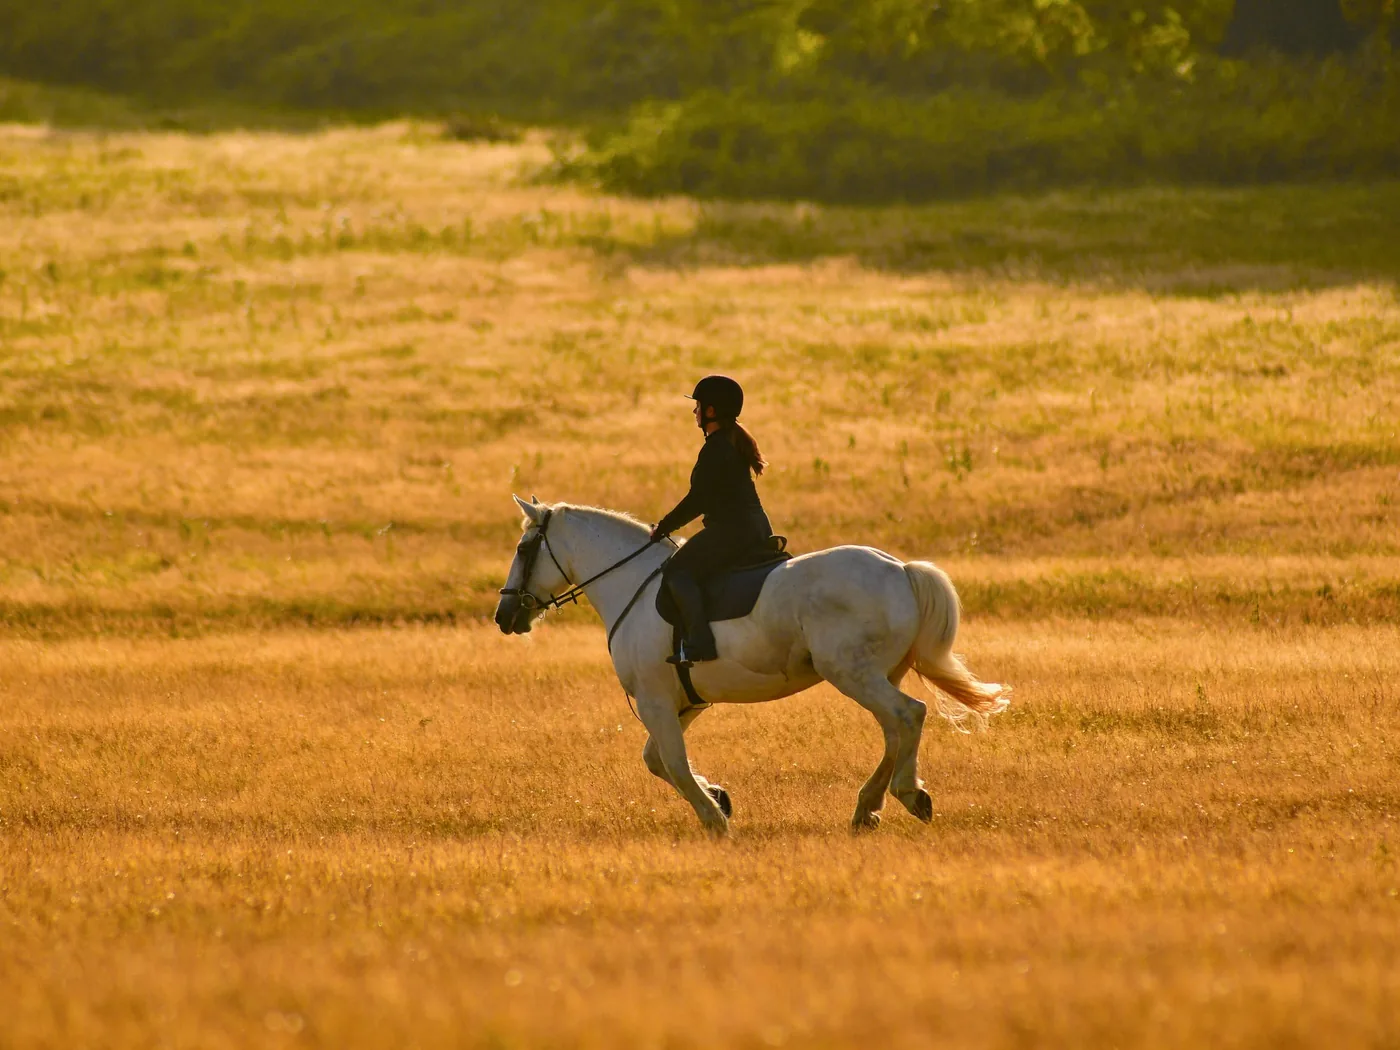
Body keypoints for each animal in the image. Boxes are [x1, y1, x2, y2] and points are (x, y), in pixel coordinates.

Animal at [493, 495, 1009, 835]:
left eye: (522, 549)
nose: (504, 616)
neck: (629, 584)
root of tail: (900, 569)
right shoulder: (682, 702)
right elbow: (656, 759)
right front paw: (719, 797)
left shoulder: (657, 701)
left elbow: (672, 763)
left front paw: (714, 819)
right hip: (876, 674)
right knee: (894, 729)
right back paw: (868, 808)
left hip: (854, 675)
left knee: (908, 715)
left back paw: (907, 794)